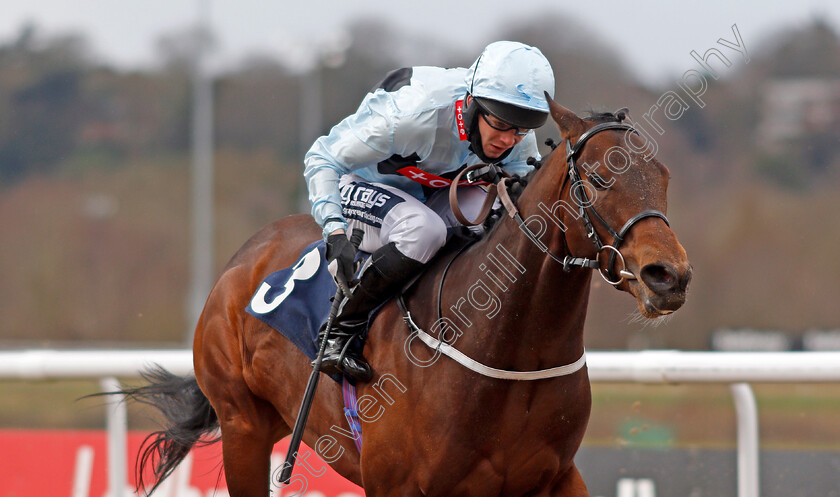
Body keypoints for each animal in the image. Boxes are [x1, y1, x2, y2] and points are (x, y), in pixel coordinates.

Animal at [130, 97, 688, 496]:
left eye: (663, 176)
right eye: (598, 177)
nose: (669, 276)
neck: (507, 354)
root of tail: (243, 257)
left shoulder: (555, 478)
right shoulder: (399, 484)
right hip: (241, 426)